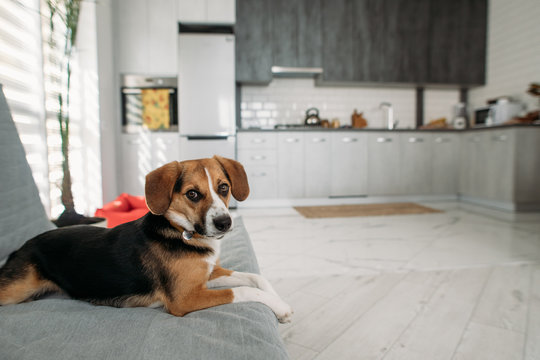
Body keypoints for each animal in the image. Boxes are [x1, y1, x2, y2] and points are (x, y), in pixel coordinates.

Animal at [0, 155, 292, 324]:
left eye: (223, 188)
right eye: (193, 194)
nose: (225, 223)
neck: (181, 231)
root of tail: (22, 246)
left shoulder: (208, 274)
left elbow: (255, 278)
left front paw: (277, 297)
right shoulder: (184, 298)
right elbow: (243, 290)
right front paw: (279, 306)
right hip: (15, 288)